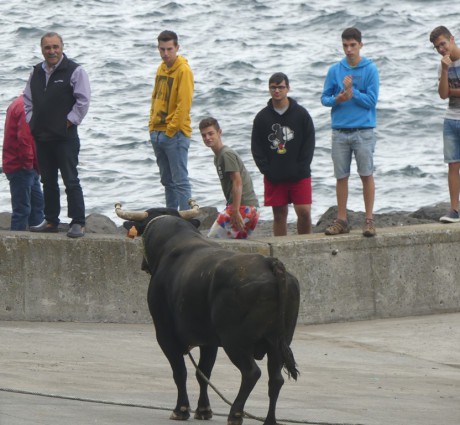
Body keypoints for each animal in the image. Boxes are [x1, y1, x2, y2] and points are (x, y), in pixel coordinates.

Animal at [124, 210, 300, 424]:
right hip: (278, 343)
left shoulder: (165, 334)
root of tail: (269, 262)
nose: (143, 265)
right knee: (275, 379)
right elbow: (203, 373)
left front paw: (181, 409)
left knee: (251, 373)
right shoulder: (209, 341)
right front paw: (203, 410)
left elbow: (180, 372)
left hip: (235, 342)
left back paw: (235, 413)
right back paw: (269, 420)